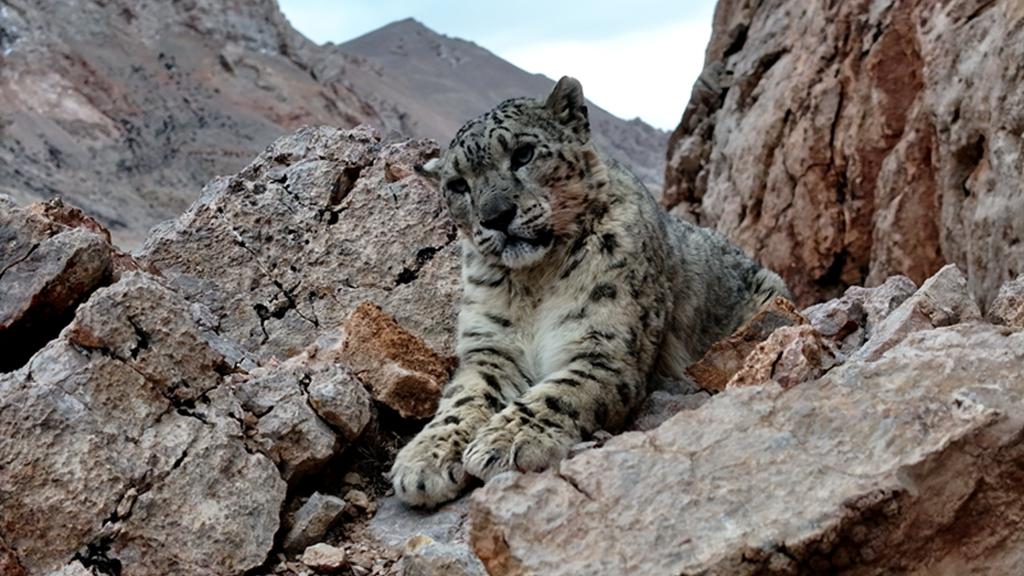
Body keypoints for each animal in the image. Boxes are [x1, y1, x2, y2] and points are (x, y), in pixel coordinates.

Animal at [390, 76, 789, 507]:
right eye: (457, 184)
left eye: (523, 153)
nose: (496, 215)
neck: (535, 282)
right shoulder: (490, 349)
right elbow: (463, 398)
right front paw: (423, 460)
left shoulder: (607, 349)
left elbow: (559, 393)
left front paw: (505, 440)